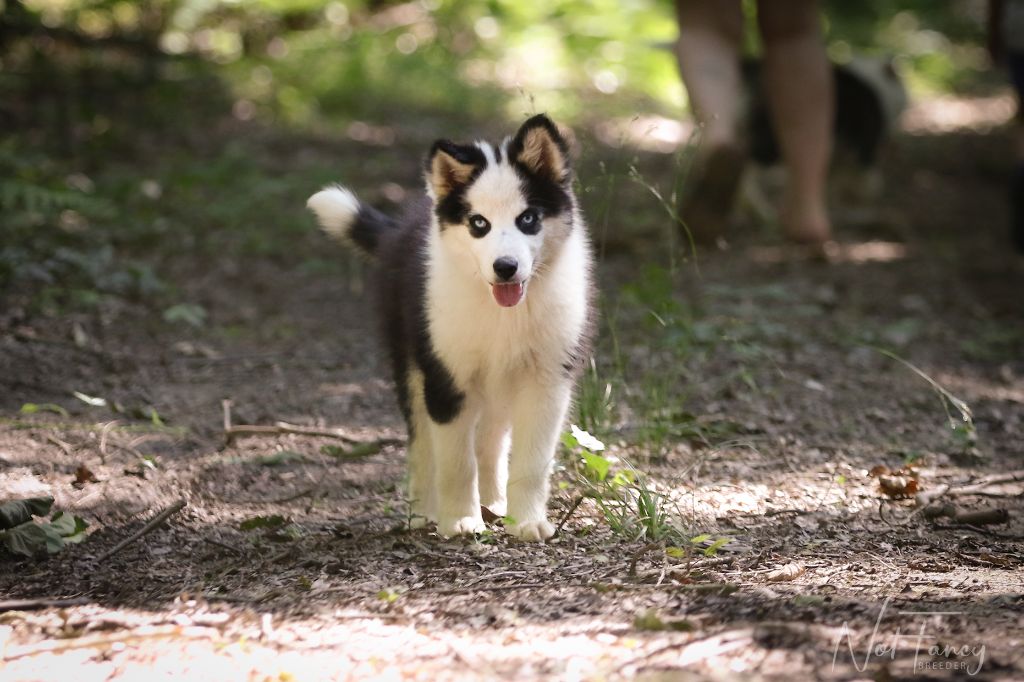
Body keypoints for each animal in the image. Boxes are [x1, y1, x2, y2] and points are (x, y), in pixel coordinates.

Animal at [305, 114, 593, 540]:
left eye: (528, 219)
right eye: (478, 224)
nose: (505, 267)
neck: (502, 313)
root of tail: (402, 228)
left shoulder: (547, 380)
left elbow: (531, 463)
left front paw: (526, 521)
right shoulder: (445, 377)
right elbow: (456, 461)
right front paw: (460, 521)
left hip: (497, 386)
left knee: (490, 442)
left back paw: (495, 503)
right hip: (411, 362)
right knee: (423, 446)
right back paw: (423, 512)